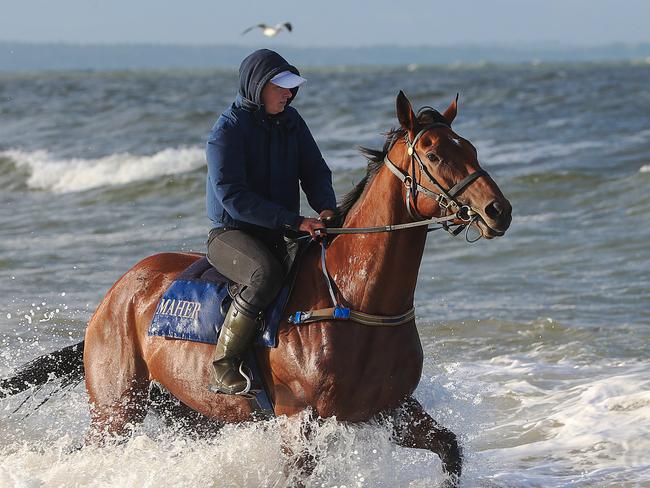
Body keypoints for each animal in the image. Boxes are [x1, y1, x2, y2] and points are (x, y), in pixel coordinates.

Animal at [0, 90, 512, 484]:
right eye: (434, 154)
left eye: (470, 148)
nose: (497, 211)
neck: (354, 299)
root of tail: (115, 295)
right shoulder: (299, 423)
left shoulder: (393, 409)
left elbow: (449, 448)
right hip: (115, 409)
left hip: (192, 412)